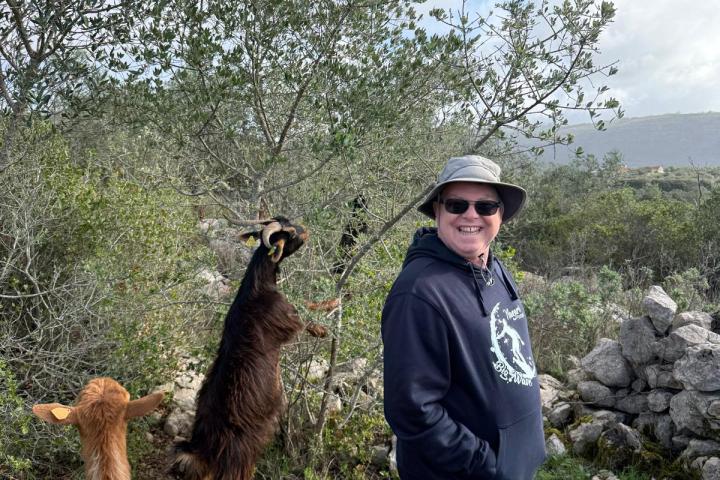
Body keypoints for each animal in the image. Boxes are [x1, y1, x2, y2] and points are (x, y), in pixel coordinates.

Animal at [175, 217, 316, 480]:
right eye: (290, 233)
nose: (306, 231)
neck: (257, 286)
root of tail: (201, 448)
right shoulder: (286, 318)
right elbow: (305, 317)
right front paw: (326, 320)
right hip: (242, 449)